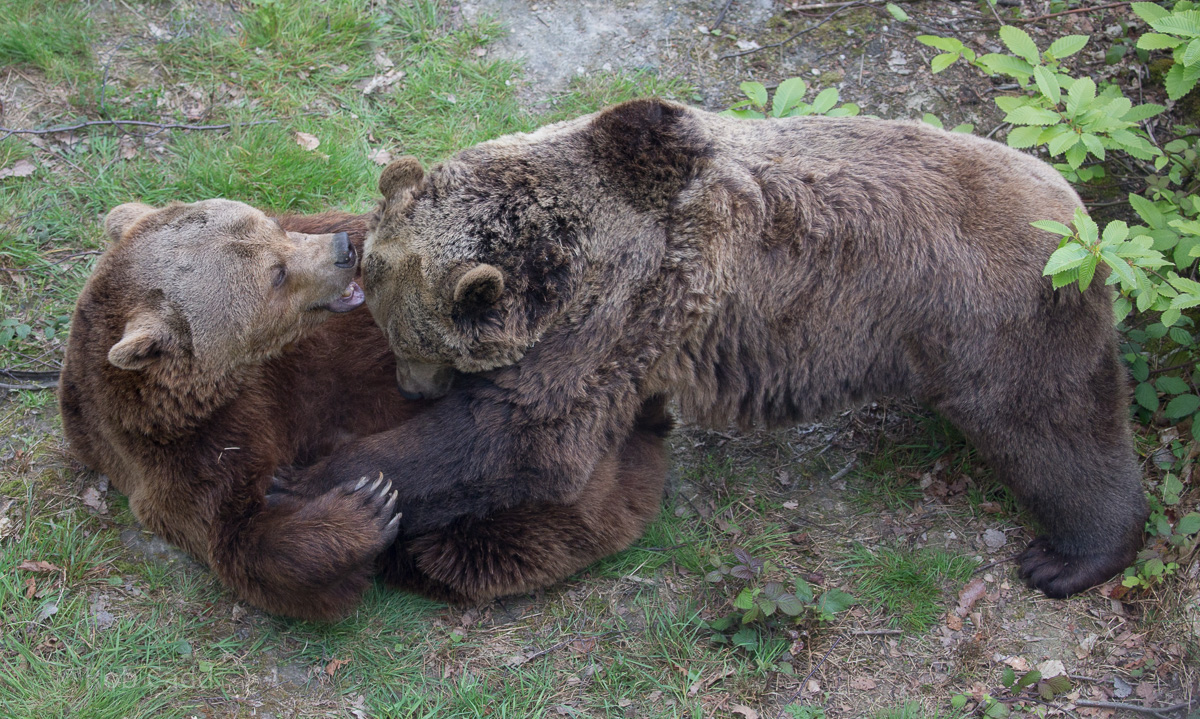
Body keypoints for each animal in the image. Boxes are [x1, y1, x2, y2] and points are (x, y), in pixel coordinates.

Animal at [58, 198, 671, 620]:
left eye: (274, 225)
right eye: (275, 275)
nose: (340, 251)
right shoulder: (184, 451)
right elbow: (244, 537)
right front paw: (364, 507)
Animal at [310, 97, 1148, 600]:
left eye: (417, 339)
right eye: (389, 328)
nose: (412, 387)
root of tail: (1077, 211)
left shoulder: (622, 303)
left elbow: (526, 436)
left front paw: (338, 473)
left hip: (994, 318)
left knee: (1053, 427)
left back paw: (1069, 555)